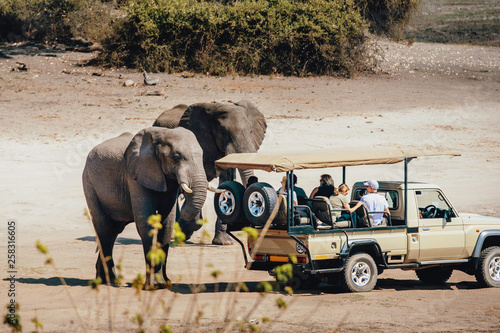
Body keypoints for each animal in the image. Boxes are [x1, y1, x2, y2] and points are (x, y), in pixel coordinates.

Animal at [83, 127, 208, 288]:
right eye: (176, 157)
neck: (161, 133)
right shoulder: (135, 176)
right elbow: (146, 223)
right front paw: (153, 286)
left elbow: (166, 224)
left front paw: (165, 284)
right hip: (89, 182)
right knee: (103, 228)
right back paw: (107, 282)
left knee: (113, 231)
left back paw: (108, 280)